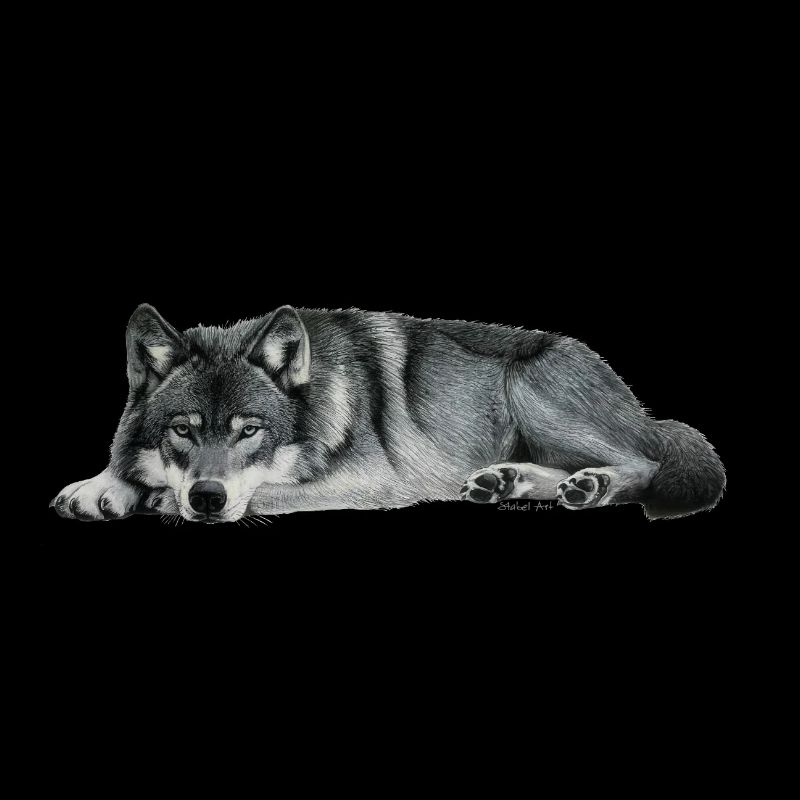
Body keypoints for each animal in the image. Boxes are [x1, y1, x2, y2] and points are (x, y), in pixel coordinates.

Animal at [51, 305, 725, 523]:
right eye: (183, 430)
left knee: (644, 463)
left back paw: (592, 485)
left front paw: (156, 498)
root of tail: (643, 409)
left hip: (534, 390)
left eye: (250, 431)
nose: (208, 498)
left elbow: (263, 490)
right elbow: (127, 467)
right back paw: (506, 482)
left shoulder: (374, 481)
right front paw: (100, 487)